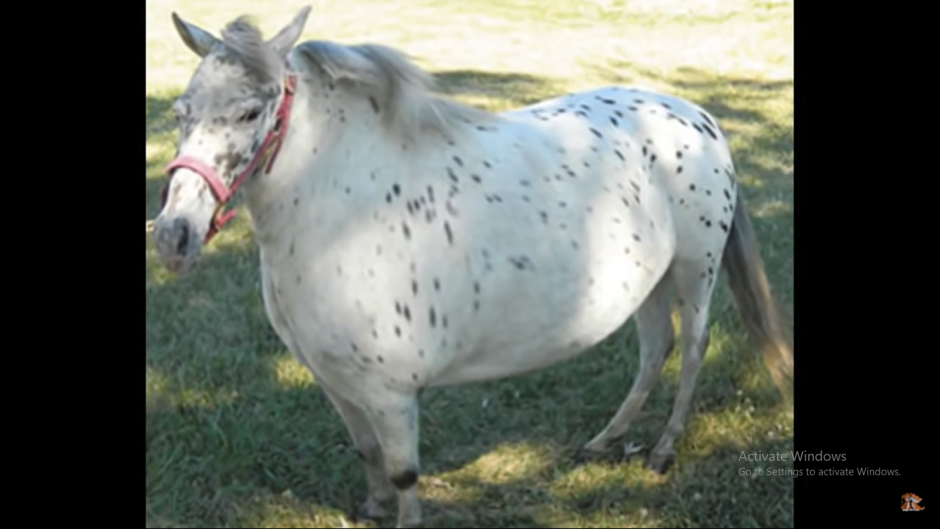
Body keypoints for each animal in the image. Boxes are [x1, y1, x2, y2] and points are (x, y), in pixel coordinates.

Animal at [149, 7, 793, 527]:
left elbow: (405, 474)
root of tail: (700, 116)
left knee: (692, 351)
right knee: (655, 348)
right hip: (648, 282)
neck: (345, 212)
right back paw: (605, 440)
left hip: (694, 271)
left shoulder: (390, 393)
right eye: (180, 113)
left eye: (250, 112)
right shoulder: (333, 379)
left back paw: (662, 449)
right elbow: (367, 452)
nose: (175, 236)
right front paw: (372, 506)